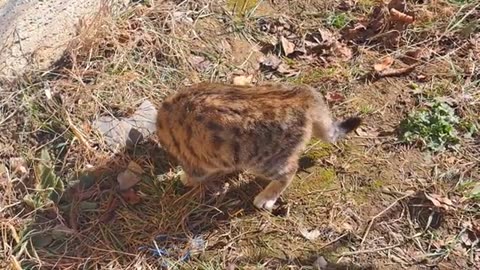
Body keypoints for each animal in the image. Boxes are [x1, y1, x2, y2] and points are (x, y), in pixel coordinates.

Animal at [158, 82, 360, 211]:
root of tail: (302, 96)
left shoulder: (195, 162)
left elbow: (194, 174)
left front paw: (183, 178)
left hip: (263, 161)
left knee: (290, 170)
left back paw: (266, 197)